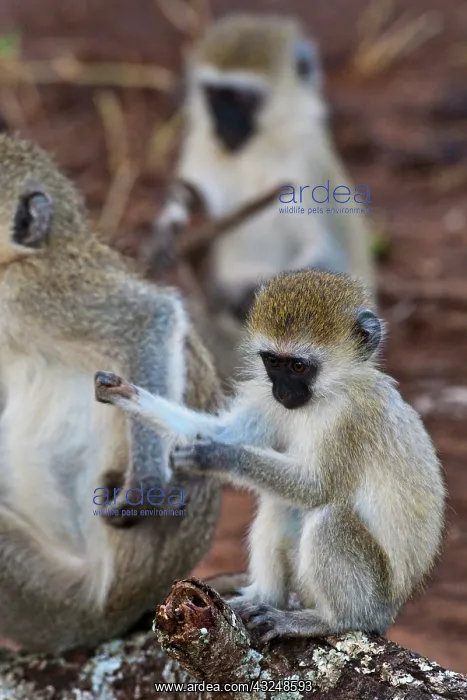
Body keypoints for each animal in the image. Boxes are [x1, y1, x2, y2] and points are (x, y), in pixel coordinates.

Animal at [95, 269, 445, 642]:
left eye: (299, 366)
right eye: (273, 362)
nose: (282, 391)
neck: (327, 396)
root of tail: (390, 612)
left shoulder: (352, 419)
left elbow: (316, 488)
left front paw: (219, 456)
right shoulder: (269, 400)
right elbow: (224, 431)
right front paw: (125, 393)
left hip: (374, 599)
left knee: (328, 517)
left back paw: (333, 621)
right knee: (280, 503)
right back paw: (263, 597)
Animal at [151, 14, 376, 335]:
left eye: (241, 99)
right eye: (215, 96)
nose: (224, 127)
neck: (257, 152)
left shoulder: (305, 168)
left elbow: (327, 254)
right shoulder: (200, 146)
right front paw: (168, 234)